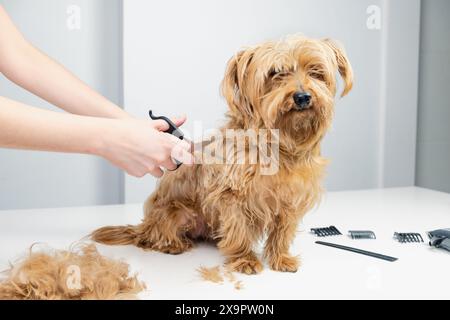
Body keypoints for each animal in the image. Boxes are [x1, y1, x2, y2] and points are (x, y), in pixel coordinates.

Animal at [90, 35, 352, 276]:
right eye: (276, 73)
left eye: (316, 72)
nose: (302, 96)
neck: (278, 145)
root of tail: (144, 225)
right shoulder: (232, 196)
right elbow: (239, 228)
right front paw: (245, 259)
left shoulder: (291, 198)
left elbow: (282, 231)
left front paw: (280, 258)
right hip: (178, 212)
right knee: (153, 236)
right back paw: (173, 244)